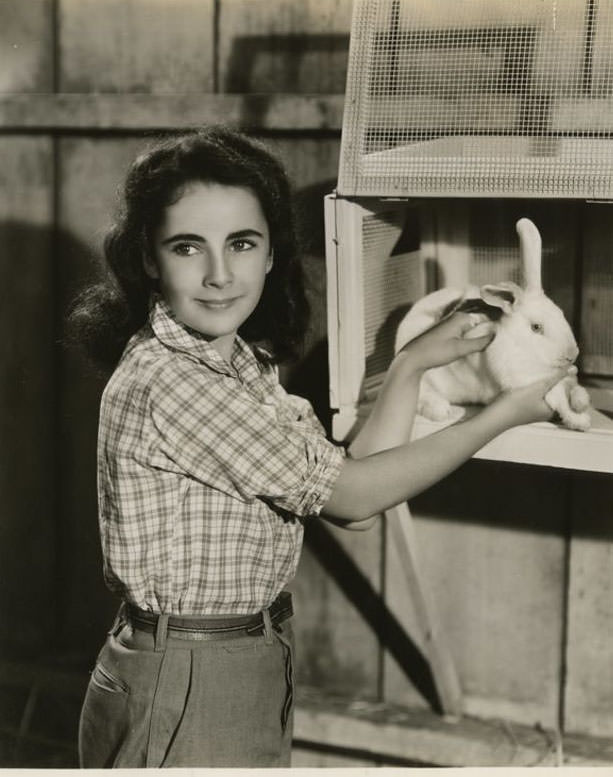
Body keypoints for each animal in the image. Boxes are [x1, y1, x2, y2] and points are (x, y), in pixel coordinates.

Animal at [394, 218, 592, 430]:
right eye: (536, 327)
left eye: (562, 314)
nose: (572, 354)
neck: (524, 350)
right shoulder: (527, 381)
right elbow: (558, 397)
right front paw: (580, 420)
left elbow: (572, 387)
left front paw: (581, 402)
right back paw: (440, 409)